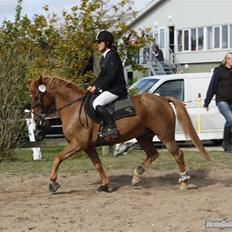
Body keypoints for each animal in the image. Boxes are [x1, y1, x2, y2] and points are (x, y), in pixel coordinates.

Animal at [26, 75, 210, 192]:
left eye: (36, 94)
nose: (35, 118)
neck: (73, 107)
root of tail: (163, 99)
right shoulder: (88, 146)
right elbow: (98, 165)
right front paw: (105, 185)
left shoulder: (78, 144)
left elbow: (57, 158)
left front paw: (52, 184)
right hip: (143, 136)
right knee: (153, 154)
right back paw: (137, 176)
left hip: (165, 136)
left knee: (177, 155)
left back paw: (184, 183)